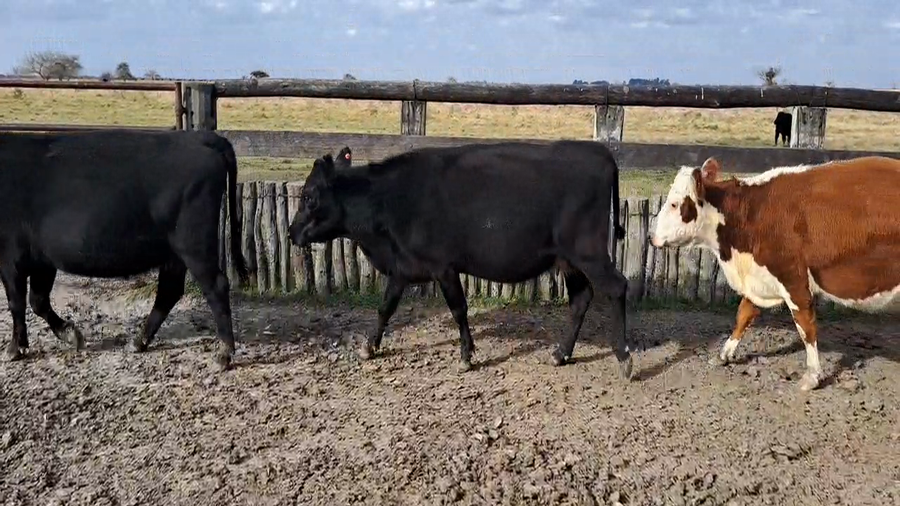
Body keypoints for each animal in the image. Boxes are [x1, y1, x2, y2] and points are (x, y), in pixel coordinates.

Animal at [0, 129, 249, 369]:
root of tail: (199, 136)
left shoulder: (10, 256)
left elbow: (17, 302)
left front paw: (14, 349)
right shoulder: (42, 259)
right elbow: (37, 300)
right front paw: (69, 334)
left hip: (194, 243)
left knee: (215, 286)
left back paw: (224, 354)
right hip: (174, 252)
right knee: (169, 291)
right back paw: (138, 342)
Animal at [288, 141, 636, 379]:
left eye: (308, 196)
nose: (291, 232)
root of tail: (599, 151)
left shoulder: (443, 266)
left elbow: (458, 309)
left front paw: (466, 356)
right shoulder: (403, 267)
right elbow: (385, 308)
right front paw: (369, 347)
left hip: (588, 252)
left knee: (617, 287)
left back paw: (624, 357)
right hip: (567, 259)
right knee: (581, 298)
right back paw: (561, 354)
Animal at [649, 155, 900, 391]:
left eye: (674, 204)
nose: (652, 237)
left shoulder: (793, 279)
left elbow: (805, 326)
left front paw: (812, 376)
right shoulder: (760, 277)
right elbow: (744, 314)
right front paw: (725, 354)